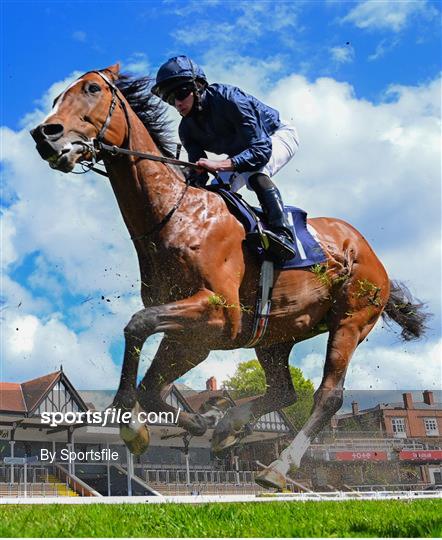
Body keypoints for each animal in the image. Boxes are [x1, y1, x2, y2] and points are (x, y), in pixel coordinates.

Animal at [28, 64, 428, 490]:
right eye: (56, 98)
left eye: (91, 89)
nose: (44, 134)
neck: (176, 215)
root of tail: (369, 253)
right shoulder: (193, 336)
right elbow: (152, 386)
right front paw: (199, 420)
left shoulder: (218, 314)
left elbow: (137, 326)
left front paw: (129, 421)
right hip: (275, 336)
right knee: (283, 392)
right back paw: (228, 427)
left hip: (350, 321)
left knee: (328, 396)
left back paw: (277, 468)